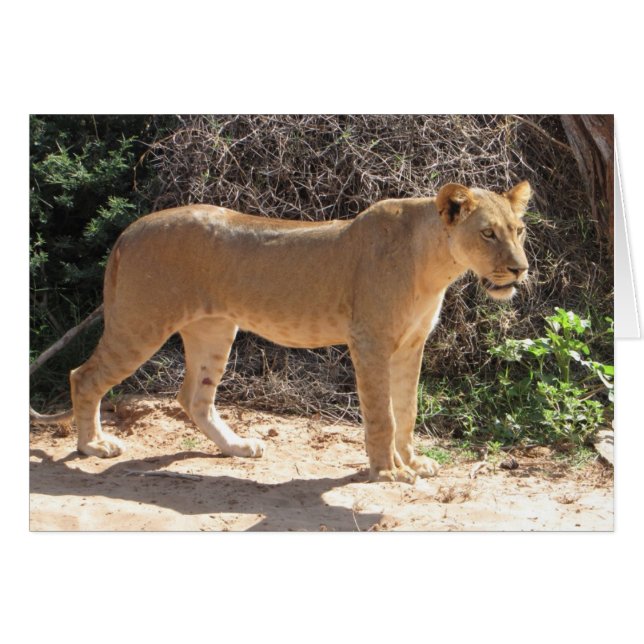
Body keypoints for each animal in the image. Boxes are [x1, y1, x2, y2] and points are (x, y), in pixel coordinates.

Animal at [30, 181, 531, 482]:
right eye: (487, 233)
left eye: (519, 230)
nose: (520, 269)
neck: (435, 264)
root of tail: (127, 232)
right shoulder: (369, 341)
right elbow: (383, 415)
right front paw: (387, 472)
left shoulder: (410, 345)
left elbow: (406, 411)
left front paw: (413, 462)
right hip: (140, 323)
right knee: (83, 376)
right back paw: (93, 446)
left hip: (213, 329)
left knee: (193, 397)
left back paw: (237, 447)